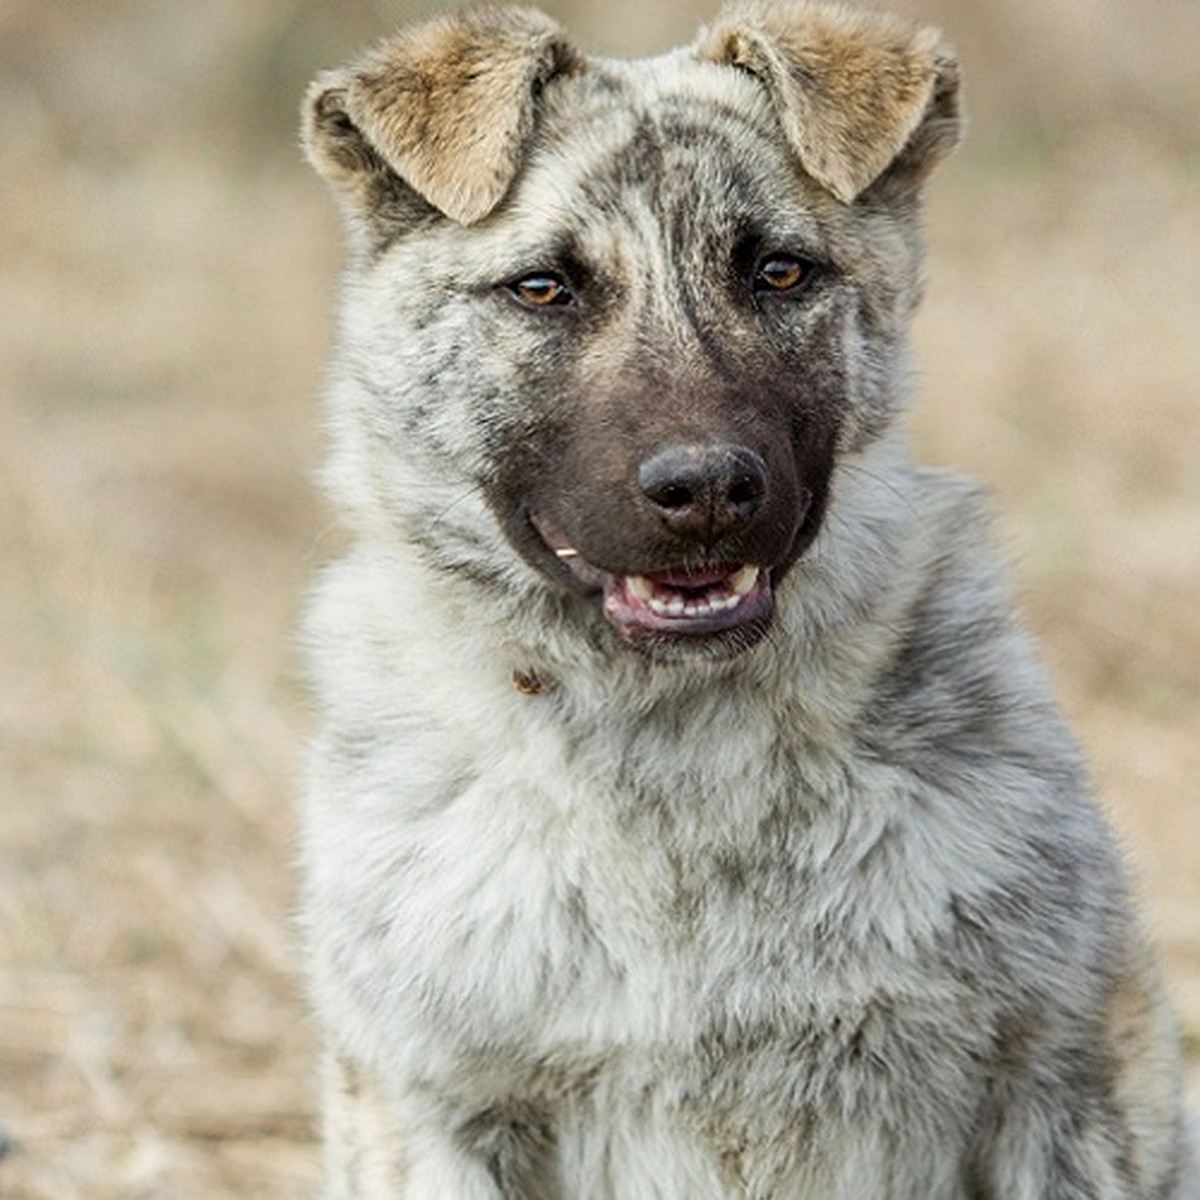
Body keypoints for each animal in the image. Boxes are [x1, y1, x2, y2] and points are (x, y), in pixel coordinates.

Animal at [295, 4, 1195, 1195]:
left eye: (778, 271)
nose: (709, 490)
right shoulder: (441, 1112)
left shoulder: (1051, 1080)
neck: (674, 747)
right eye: (543, 289)